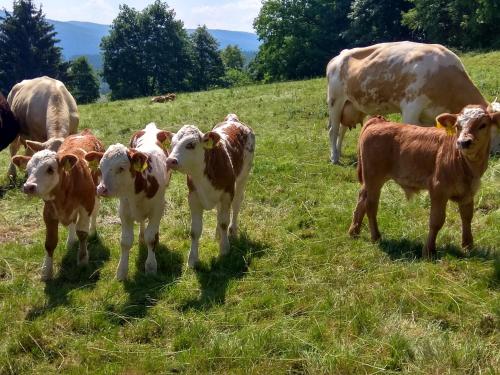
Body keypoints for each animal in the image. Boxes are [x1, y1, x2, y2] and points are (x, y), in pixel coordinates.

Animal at [11, 129, 104, 280]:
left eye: (50, 169)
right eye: (28, 170)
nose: (28, 187)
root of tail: (85, 132)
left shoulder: (86, 204)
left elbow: (82, 233)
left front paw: (83, 260)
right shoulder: (48, 212)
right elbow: (50, 243)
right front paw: (46, 271)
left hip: (96, 193)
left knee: (95, 212)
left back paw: (92, 231)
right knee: (72, 222)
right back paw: (71, 241)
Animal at [84, 122, 172, 280]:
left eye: (121, 168)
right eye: (100, 167)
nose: (101, 189)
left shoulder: (157, 209)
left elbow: (151, 237)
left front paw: (151, 267)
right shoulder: (124, 211)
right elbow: (125, 241)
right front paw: (121, 271)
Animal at [167, 113, 256, 268]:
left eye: (190, 144)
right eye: (172, 144)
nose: (170, 160)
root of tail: (233, 120)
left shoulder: (227, 193)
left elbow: (224, 222)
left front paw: (224, 249)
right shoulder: (193, 198)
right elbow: (195, 230)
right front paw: (192, 259)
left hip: (243, 178)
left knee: (236, 205)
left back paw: (232, 231)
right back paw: (217, 235)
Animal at [326, 41, 494, 164]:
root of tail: (338, 57)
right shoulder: (411, 108)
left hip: (350, 106)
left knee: (341, 129)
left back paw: (338, 152)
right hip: (335, 101)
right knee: (333, 130)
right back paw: (334, 158)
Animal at [348, 105, 500, 258]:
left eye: (483, 125)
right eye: (458, 126)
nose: (463, 142)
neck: (466, 166)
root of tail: (378, 121)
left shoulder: (468, 193)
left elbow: (467, 217)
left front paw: (468, 246)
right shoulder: (438, 189)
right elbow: (436, 220)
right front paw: (429, 251)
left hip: (368, 180)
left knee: (362, 198)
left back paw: (354, 231)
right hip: (374, 178)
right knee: (371, 205)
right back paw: (376, 236)